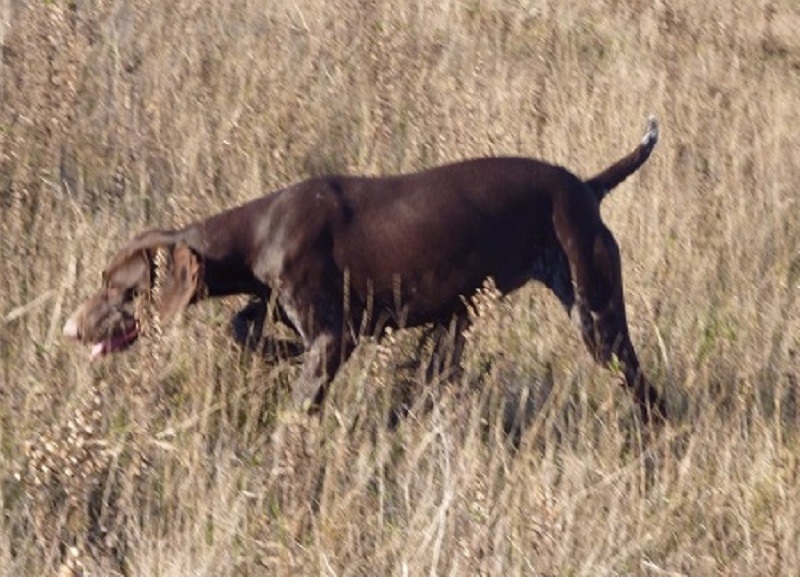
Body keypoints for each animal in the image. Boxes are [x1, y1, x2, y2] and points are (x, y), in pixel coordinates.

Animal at [62, 118, 664, 418]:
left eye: (122, 289)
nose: (69, 329)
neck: (262, 229)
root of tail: (586, 187)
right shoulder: (276, 304)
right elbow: (242, 327)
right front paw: (277, 350)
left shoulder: (334, 337)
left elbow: (300, 399)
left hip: (597, 315)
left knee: (647, 392)